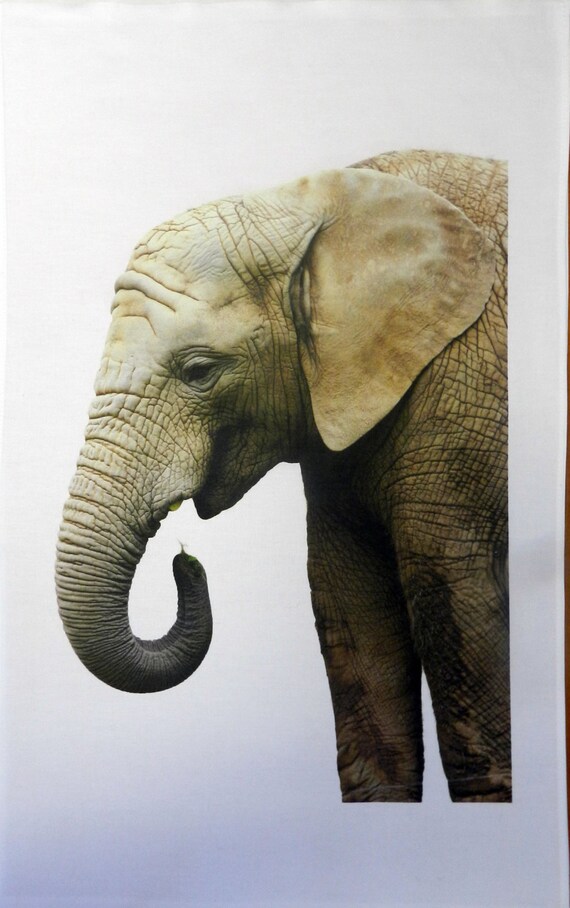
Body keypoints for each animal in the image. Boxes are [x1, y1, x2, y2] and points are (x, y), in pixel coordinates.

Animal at [56, 149, 509, 803]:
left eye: (199, 371)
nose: (185, 560)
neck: (314, 203)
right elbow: (350, 604)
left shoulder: (465, 390)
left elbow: (449, 590)